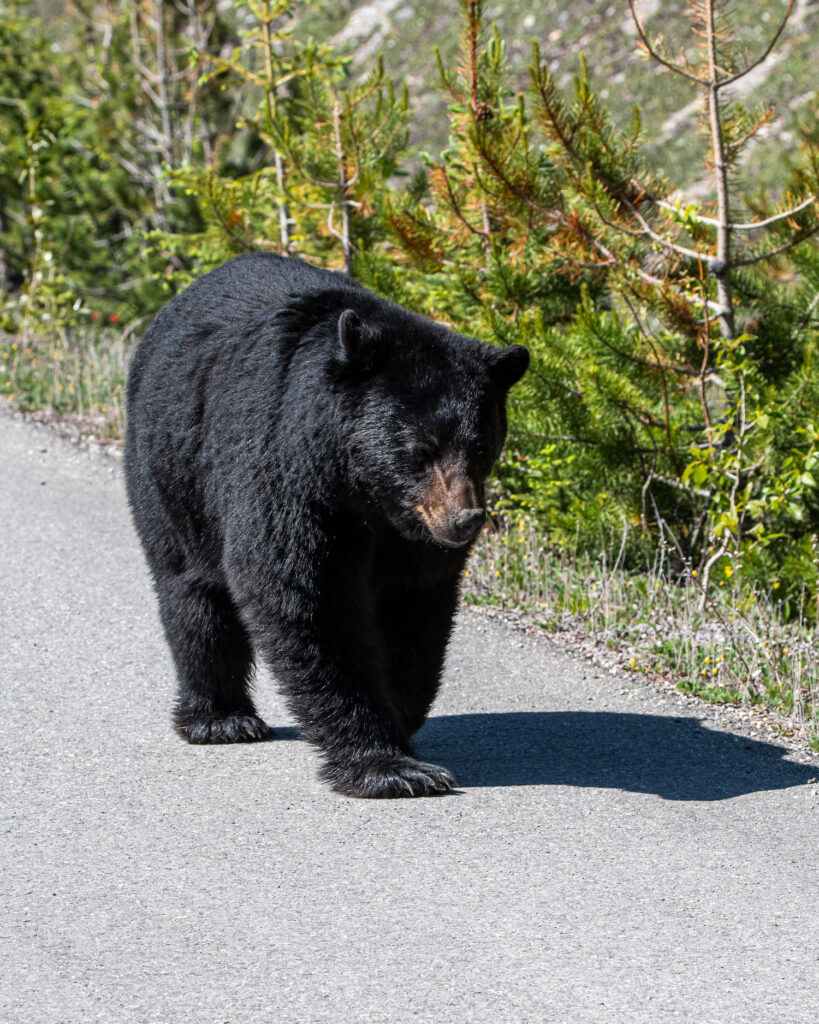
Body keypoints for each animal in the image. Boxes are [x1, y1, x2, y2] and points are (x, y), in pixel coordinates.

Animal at [124, 251, 528, 794]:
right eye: (421, 448)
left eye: (481, 446)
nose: (465, 519)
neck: (365, 494)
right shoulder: (286, 474)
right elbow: (305, 599)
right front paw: (387, 765)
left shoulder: (411, 540)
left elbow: (414, 610)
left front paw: (401, 712)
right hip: (173, 477)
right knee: (191, 595)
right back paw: (221, 718)